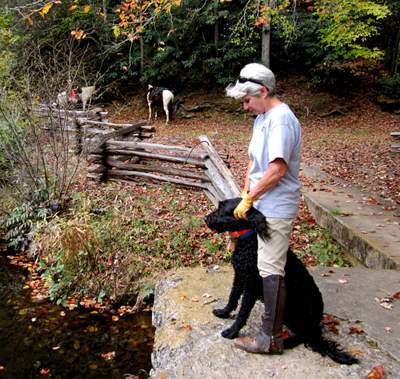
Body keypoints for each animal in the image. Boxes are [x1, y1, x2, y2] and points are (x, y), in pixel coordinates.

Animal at [203, 197, 356, 366]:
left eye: (221, 208)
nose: (205, 218)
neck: (248, 241)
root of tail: (316, 322)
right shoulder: (239, 276)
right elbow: (232, 298)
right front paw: (224, 312)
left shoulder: (251, 285)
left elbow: (243, 312)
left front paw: (232, 331)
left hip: (296, 312)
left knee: (307, 337)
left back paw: (284, 342)